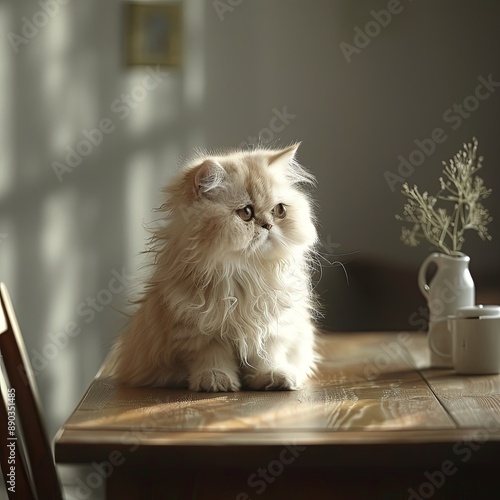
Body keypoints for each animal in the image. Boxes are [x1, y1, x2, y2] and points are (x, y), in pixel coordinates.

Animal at [113, 143, 316, 392]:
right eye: (246, 213)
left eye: (279, 211)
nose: (268, 225)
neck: (246, 273)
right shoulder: (199, 330)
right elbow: (212, 359)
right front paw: (214, 380)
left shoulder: (273, 325)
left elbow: (267, 356)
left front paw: (274, 376)